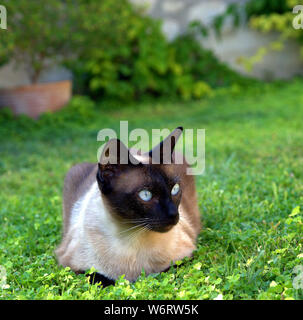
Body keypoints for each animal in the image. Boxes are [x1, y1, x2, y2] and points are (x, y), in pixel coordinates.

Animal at [55, 127, 202, 282]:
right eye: (146, 195)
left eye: (175, 189)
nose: (173, 214)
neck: (132, 235)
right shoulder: (71, 265)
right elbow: (103, 278)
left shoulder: (186, 255)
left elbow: (164, 271)